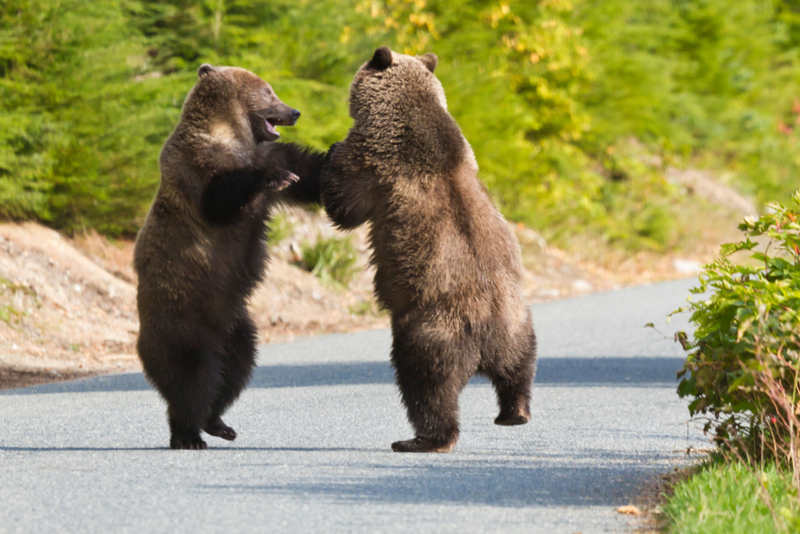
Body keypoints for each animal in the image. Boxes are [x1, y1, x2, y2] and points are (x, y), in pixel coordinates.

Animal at [134, 63, 324, 452]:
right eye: (268, 92)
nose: (294, 111)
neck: (231, 137)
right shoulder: (197, 168)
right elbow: (220, 197)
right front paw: (274, 177)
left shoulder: (267, 153)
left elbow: (309, 171)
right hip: (185, 317)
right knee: (191, 376)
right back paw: (188, 434)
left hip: (235, 325)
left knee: (236, 368)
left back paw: (219, 422)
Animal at [318, 48, 536, 454]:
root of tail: (485, 341)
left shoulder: (375, 161)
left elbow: (345, 203)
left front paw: (329, 152)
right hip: (517, 325)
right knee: (519, 370)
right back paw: (514, 412)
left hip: (431, 331)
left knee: (427, 387)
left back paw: (420, 439)